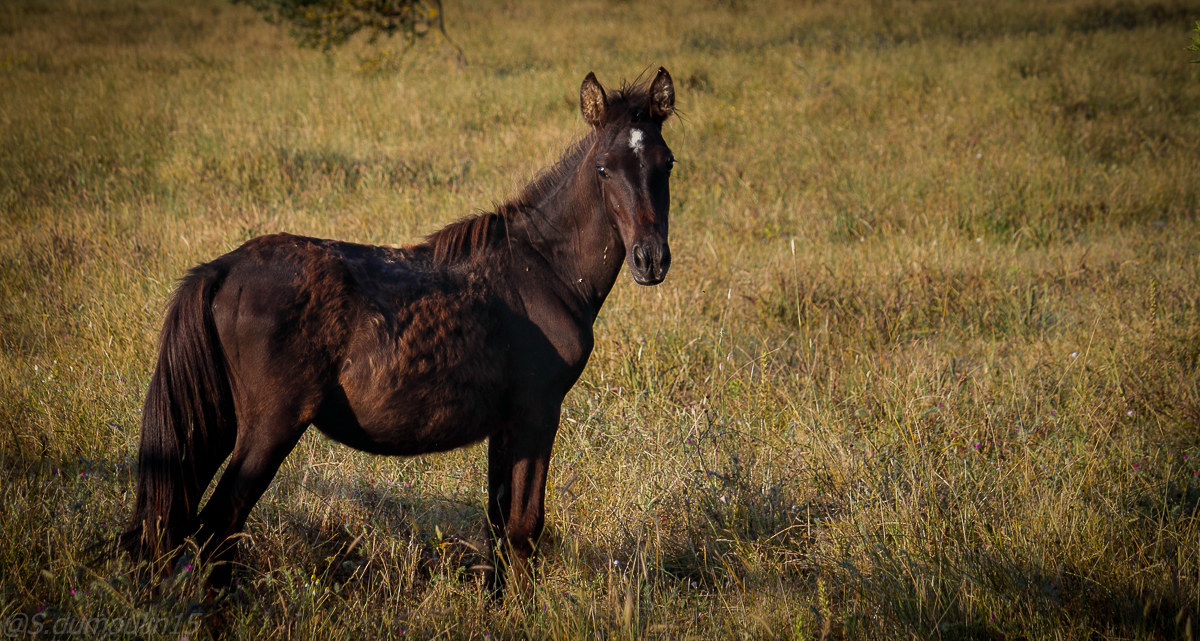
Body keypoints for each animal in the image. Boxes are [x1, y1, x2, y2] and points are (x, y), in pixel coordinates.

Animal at [120, 67, 677, 594]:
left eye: (666, 163)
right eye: (603, 167)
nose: (650, 260)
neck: (543, 268)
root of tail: (222, 269)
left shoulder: (506, 425)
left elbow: (497, 526)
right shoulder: (538, 415)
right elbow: (524, 528)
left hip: (216, 425)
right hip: (268, 429)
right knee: (218, 527)